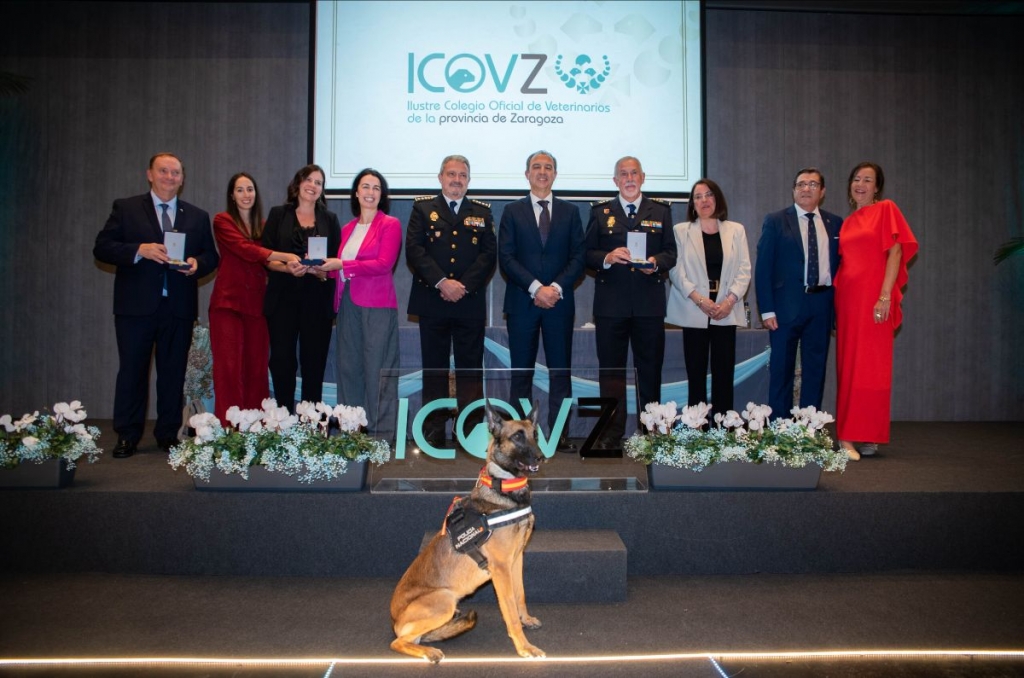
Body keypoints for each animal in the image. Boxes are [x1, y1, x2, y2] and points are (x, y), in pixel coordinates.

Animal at [387, 403, 544, 663]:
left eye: (535, 435)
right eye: (517, 437)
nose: (541, 456)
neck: (503, 491)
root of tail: (395, 619)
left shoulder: (517, 560)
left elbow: (520, 596)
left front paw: (526, 619)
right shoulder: (501, 569)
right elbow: (510, 611)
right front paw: (525, 647)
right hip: (444, 600)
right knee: (398, 642)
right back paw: (429, 652)